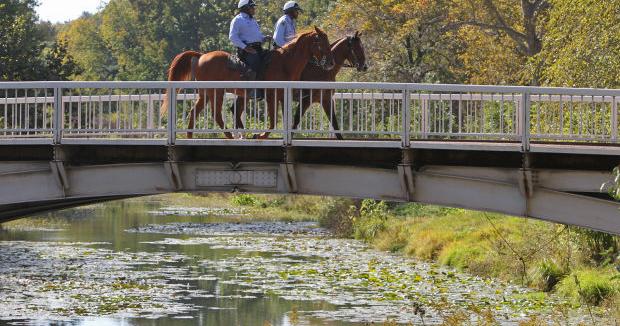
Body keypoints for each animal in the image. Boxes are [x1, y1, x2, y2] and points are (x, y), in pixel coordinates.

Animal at [160, 27, 334, 139]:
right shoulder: (271, 95)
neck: (285, 62)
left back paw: (190, 136)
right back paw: (230, 135)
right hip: (216, 91)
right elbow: (273, 120)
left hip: (206, 93)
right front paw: (260, 135)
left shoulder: (283, 94)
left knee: (194, 111)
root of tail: (201, 56)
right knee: (217, 114)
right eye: (322, 43)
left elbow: (284, 118)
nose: (330, 63)